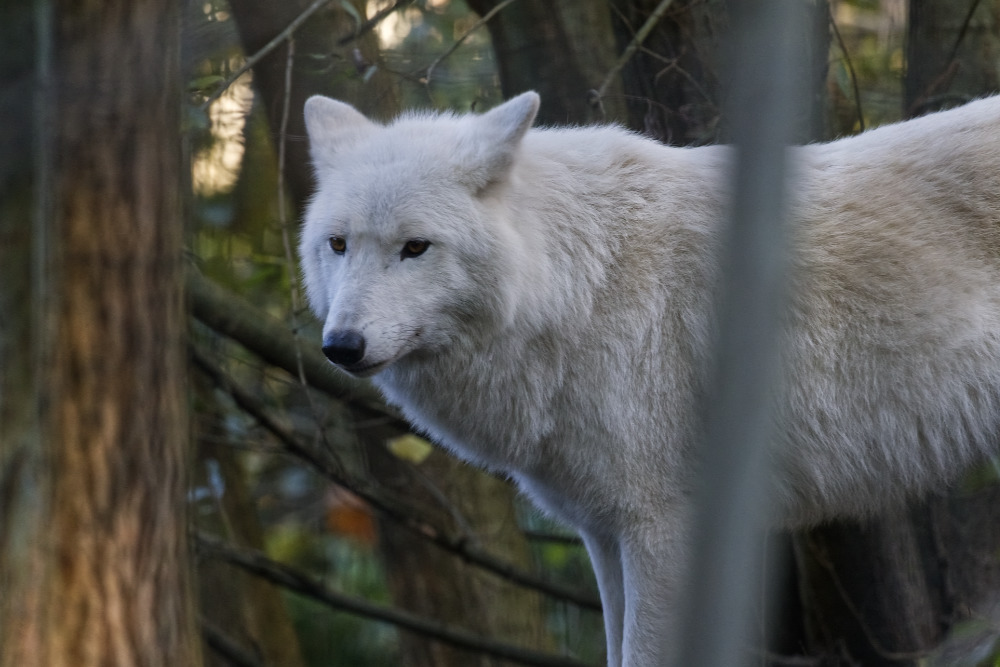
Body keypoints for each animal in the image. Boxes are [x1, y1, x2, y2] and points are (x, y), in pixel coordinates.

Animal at [300, 94, 1000, 667]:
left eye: (415, 247)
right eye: (338, 245)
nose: (341, 347)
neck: (579, 287)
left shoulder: (661, 533)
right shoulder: (604, 534)